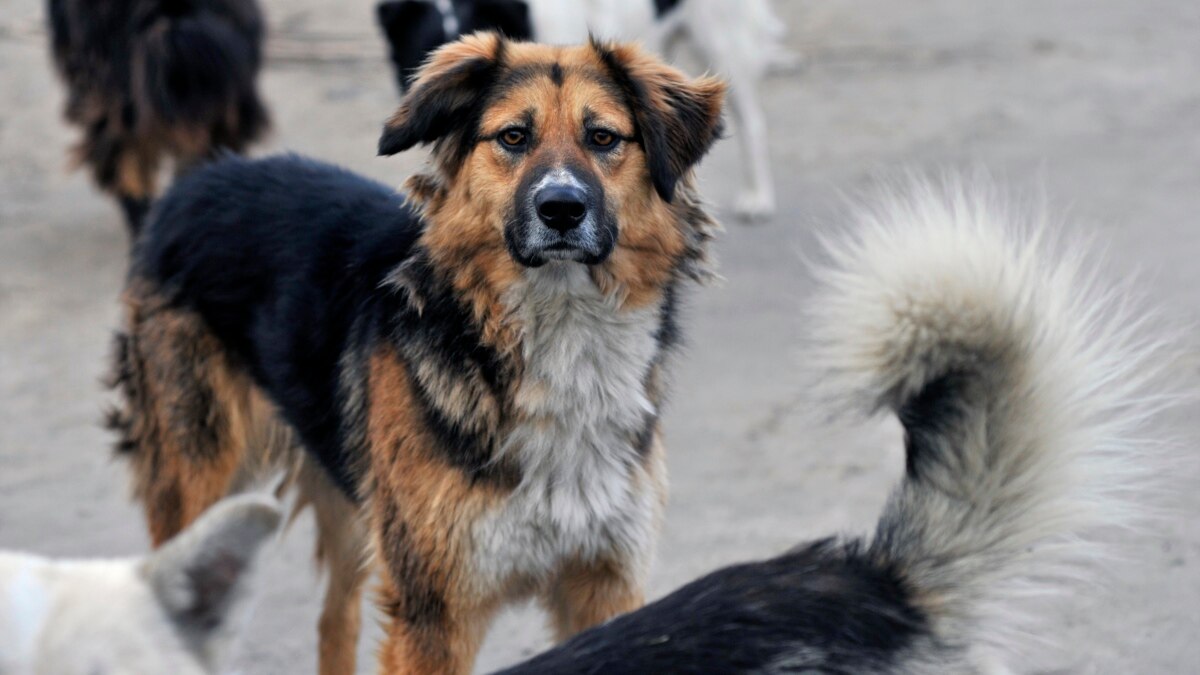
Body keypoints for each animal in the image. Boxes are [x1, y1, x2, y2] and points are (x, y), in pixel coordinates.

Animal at [108, 32, 720, 672]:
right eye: (513, 137)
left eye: (603, 137)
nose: (561, 208)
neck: (561, 329)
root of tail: (199, 180)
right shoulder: (433, 611)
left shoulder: (606, 583)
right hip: (201, 480)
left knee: (335, 619)